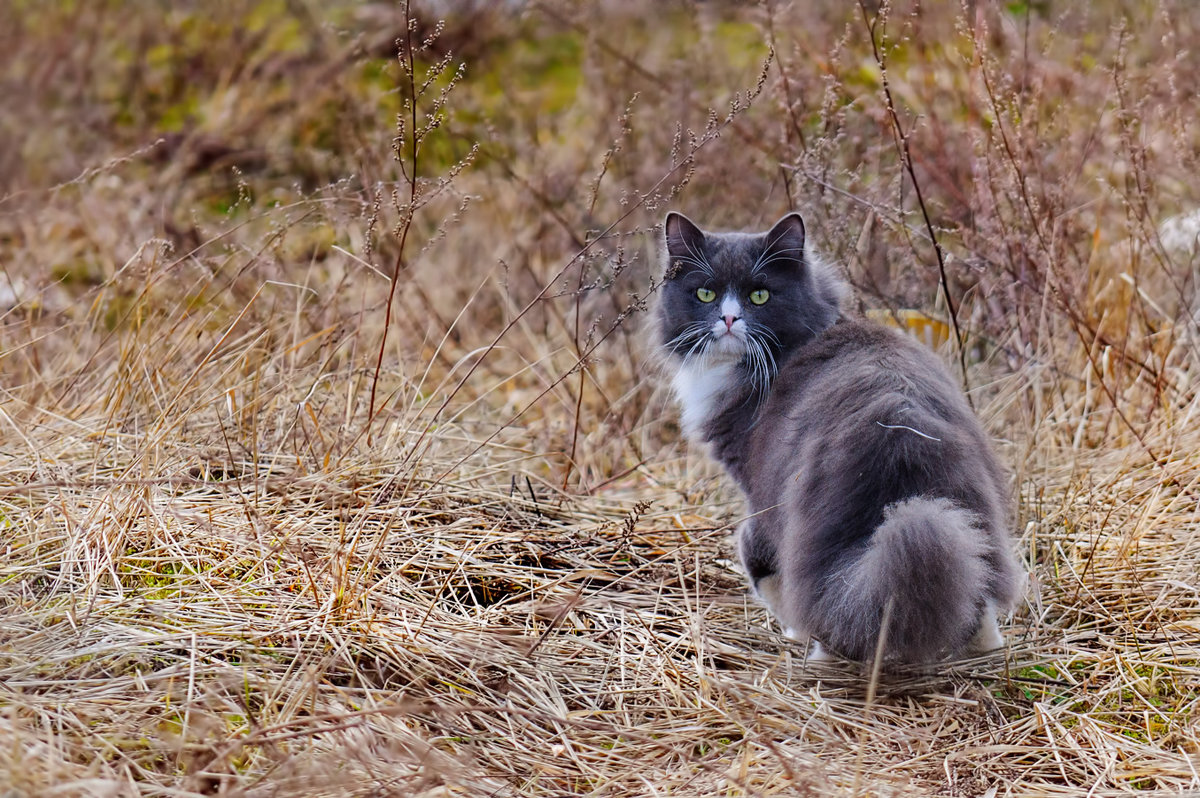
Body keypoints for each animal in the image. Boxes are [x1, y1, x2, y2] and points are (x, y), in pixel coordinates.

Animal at [657, 208, 1022, 662]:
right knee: (980, 592)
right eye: (705, 294)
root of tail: (904, 442)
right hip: (973, 519)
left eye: (760, 296)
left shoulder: (757, 489)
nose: (728, 320)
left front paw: (792, 631)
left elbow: (763, 566)